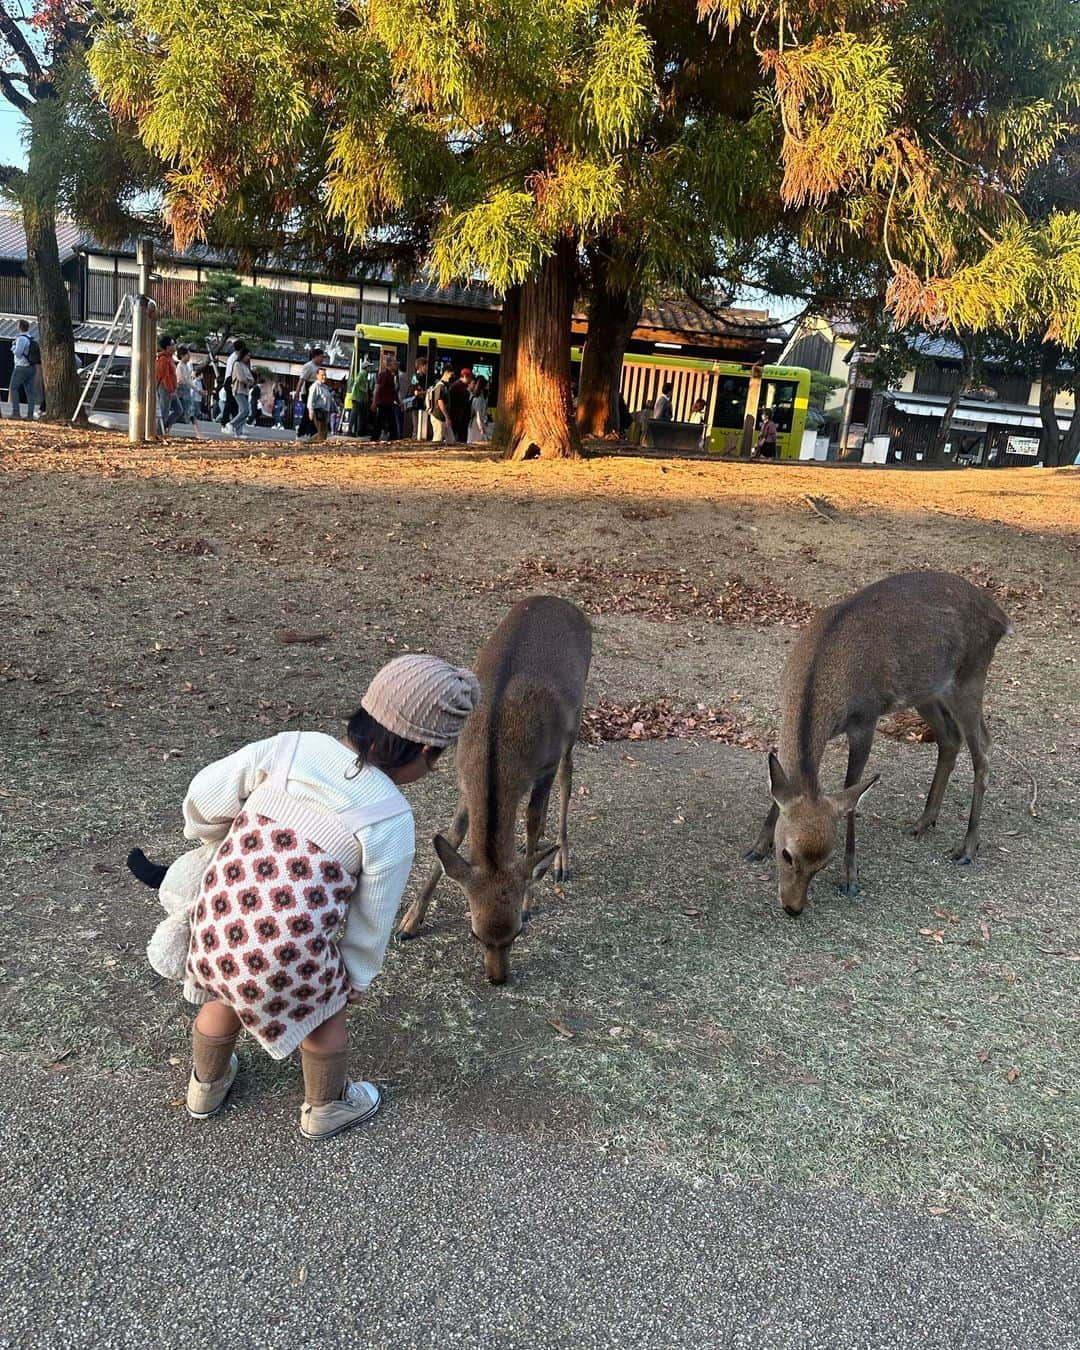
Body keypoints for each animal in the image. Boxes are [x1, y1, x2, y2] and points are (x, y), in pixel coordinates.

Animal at [396, 599, 591, 982]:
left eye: (516, 933)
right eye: (475, 934)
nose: (498, 979)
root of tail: (566, 603)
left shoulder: (543, 766)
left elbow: (533, 819)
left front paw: (529, 900)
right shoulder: (464, 780)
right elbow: (452, 836)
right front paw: (409, 920)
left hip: (574, 717)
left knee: (568, 774)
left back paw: (560, 859)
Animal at [745, 569, 1015, 918]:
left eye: (824, 863)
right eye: (786, 853)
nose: (794, 907)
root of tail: (1001, 617)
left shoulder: (865, 720)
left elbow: (853, 789)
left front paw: (851, 877)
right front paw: (756, 847)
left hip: (970, 676)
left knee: (983, 747)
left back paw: (967, 846)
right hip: (927, 691)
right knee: (950, 738)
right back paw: (922, 821)